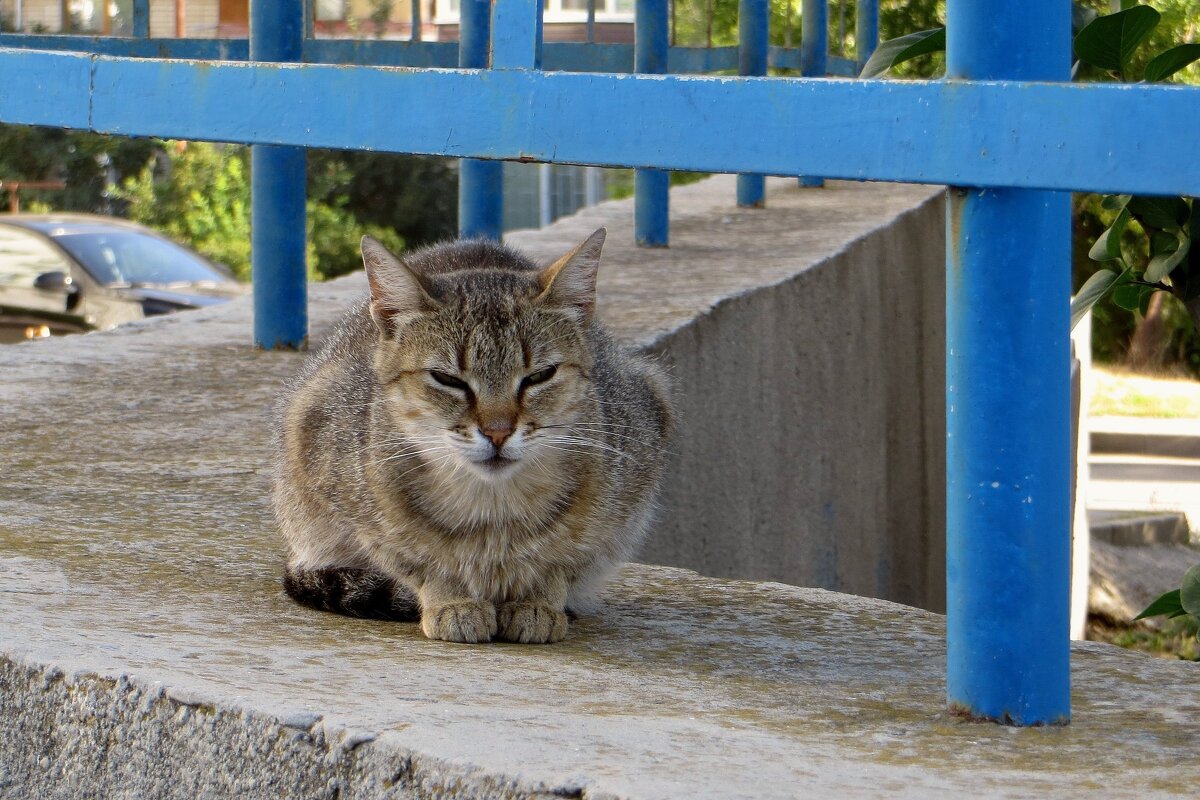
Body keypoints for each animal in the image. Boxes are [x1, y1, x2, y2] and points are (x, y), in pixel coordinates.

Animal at [274, 226, 676, 642]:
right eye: (447, 379)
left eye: (540, 375)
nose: (498, 432)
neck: (492, 513)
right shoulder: (347, 492)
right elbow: (421, 561)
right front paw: (451, 600)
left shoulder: (623, 497)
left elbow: (562, 563)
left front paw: (538, 602)